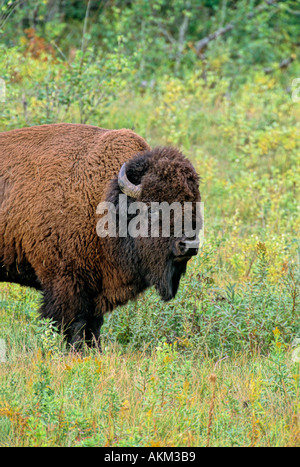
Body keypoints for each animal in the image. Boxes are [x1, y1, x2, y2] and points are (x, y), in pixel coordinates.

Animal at [1, 122, 202, 350]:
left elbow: (93, 326)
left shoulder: (96, 289)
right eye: (153, 209)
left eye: (195, 205)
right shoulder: (65, 281)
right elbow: (72, 324)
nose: (188, 244)